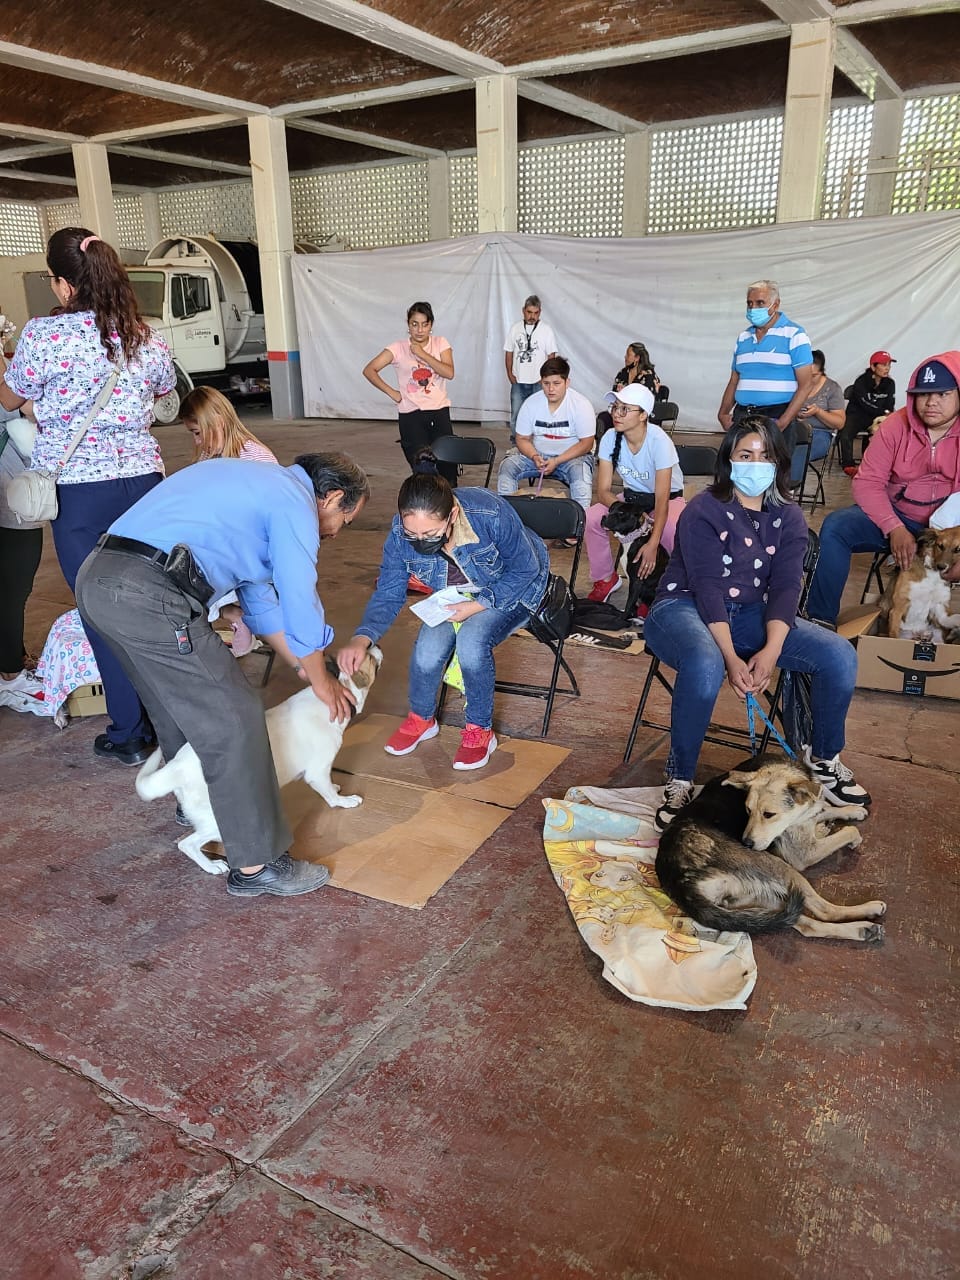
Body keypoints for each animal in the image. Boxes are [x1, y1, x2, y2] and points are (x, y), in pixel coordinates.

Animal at [136, 645, 384, 875]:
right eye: (369, 658)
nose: (375, 643)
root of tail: (176, 767)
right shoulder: (317, 772)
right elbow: (331, 796)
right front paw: (345, 800)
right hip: (220, 822)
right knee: (187, 844)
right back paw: (212, 866)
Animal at [655, 752, 885, 947]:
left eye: (769, 814)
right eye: (748, 810)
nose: (746, 843)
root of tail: (679, 881)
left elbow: (824, 808)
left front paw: (851, 811)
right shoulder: (803, 853)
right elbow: (849, 830)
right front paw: (845, 829)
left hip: (758, 901)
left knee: (803, 924)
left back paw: (865, 930)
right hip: (781, 869)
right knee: (825, 910)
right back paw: (869, 910)